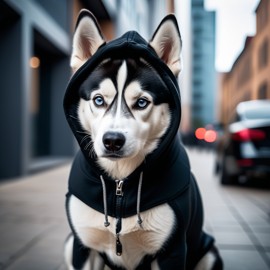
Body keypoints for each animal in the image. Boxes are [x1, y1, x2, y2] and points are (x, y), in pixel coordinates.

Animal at [62, 9, 221, 268]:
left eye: (142, 102)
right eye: (98, 100)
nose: (112, 141)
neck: (120, 183)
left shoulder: (172, 250)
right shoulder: (83, 246)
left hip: (209, 252)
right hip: (68, 243)